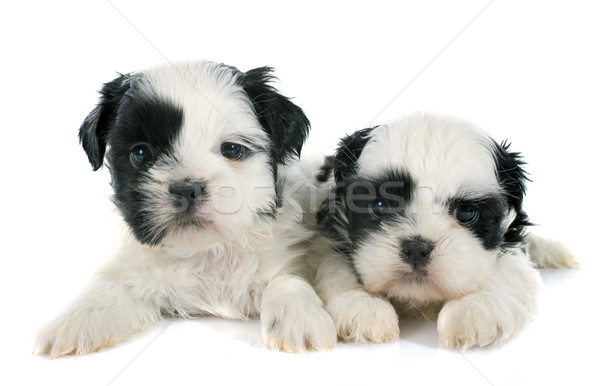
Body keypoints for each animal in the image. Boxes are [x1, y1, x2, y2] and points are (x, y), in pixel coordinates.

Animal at [35, 61, 338, 358]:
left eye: (232, 150)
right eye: (141, 154)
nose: (186, 189)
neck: (204, 251)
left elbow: (287, 279)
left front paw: (298, 317)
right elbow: (110, 286)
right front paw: (75, 319)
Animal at [314, 112, 576, 350]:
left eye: (467, 213)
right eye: (380, 205)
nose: (417, 249)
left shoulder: (511, 239)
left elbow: (509, 267)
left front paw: (475, 308)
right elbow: (335, 267)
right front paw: (363, 304)